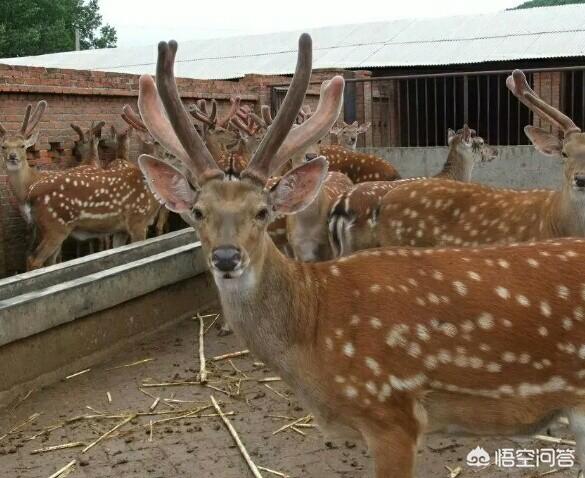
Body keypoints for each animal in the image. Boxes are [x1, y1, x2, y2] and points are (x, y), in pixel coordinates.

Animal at [1, 102, 161, 270]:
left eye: (22, 146)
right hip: (55, 227)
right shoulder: (138, 221)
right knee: (34, 259)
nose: (12, 157)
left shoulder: (123, 228)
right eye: (3, 146)